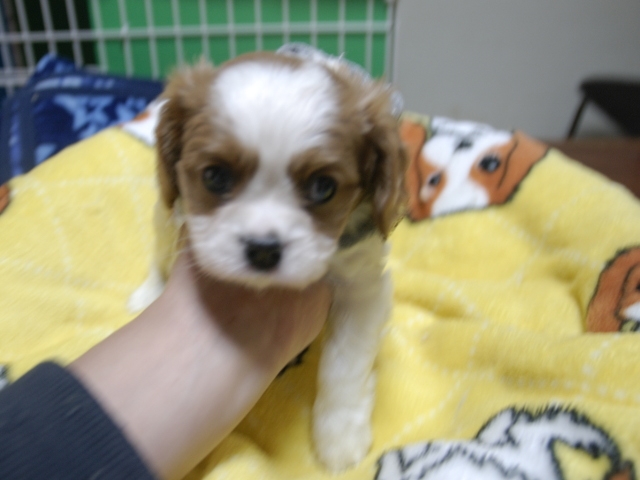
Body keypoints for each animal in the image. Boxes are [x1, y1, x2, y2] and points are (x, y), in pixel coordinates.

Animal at [128, 45, 407, 471]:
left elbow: (343, 366)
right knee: (159, 254)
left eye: (323, 187)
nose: (262, 249)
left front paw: (339, 435)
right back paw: (148, 294)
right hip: (166, 214)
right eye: (215, 177)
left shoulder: (363, 286)